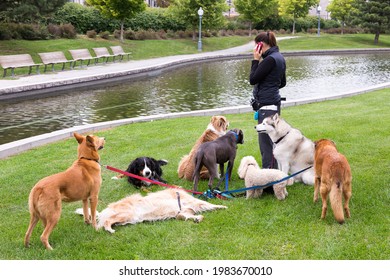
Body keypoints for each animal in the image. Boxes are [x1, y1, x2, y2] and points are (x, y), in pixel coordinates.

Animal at [76, 188, 227, 234]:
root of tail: (106, 209)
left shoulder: (183, 212)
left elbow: (188, 216)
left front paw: (197, 218)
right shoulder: (192, 203)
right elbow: (208, 204)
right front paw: (223, 206)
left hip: (128, 219)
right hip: (127, 214)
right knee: (107, 221)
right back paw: (109, 230)